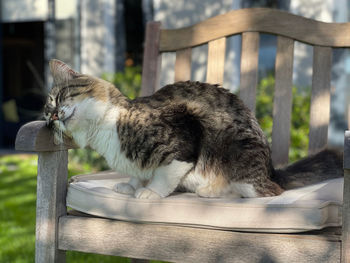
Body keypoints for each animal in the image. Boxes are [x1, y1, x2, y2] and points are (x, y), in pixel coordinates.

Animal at [43, 59, 342, 200]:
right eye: (48, 118)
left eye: (59, 98)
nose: (55, 116)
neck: (104, 132)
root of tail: (271, 170)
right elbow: (138, 174)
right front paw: (130, 185)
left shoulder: (184, 135)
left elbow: (165, 173)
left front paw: (150, 191)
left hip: (240, 157)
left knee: (264, 191)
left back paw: (211, 190)